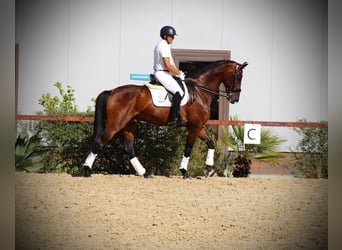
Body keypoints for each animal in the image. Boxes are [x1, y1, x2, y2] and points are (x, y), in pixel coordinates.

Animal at [83, 60, 248, 178]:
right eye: (238, 76)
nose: (235, 99)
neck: (200, 90)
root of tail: (111, 91)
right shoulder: (194, 127)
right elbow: (188, 149)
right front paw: (184, 171)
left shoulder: (198, 126)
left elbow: (211, 143)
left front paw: (207, 168)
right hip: (115, 125)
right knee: (99, 144)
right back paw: (86, 170)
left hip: (129, 125)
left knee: (129, 149)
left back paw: (144, 173)